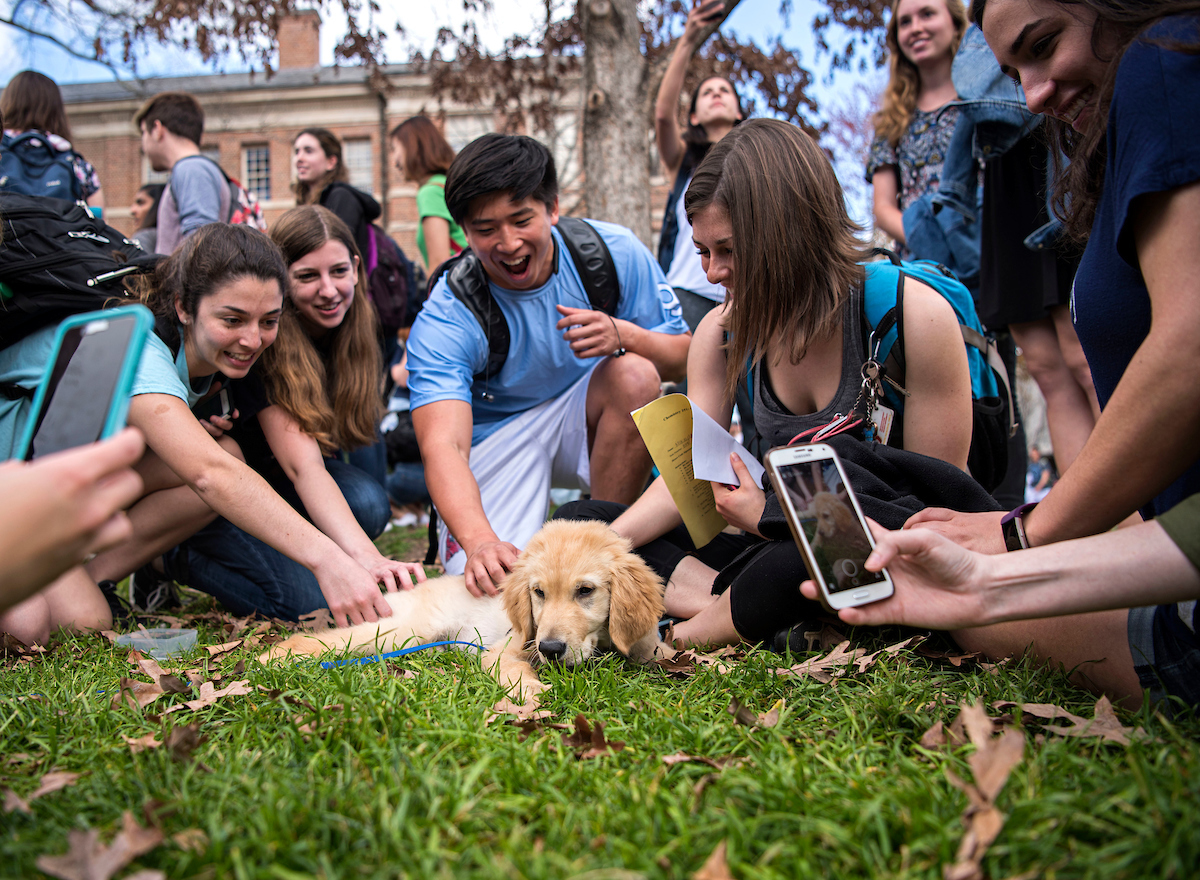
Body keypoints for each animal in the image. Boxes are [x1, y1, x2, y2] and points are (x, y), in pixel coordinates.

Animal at [259, 521, 672, 691]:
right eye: (538, 593)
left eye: (585, 591)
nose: (550, 648)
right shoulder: (506, 649)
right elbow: (517, 673)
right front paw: (532, 698)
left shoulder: (644, 641)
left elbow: (661, 651)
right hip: (398, 631)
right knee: (315, 639)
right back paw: (272, 658)